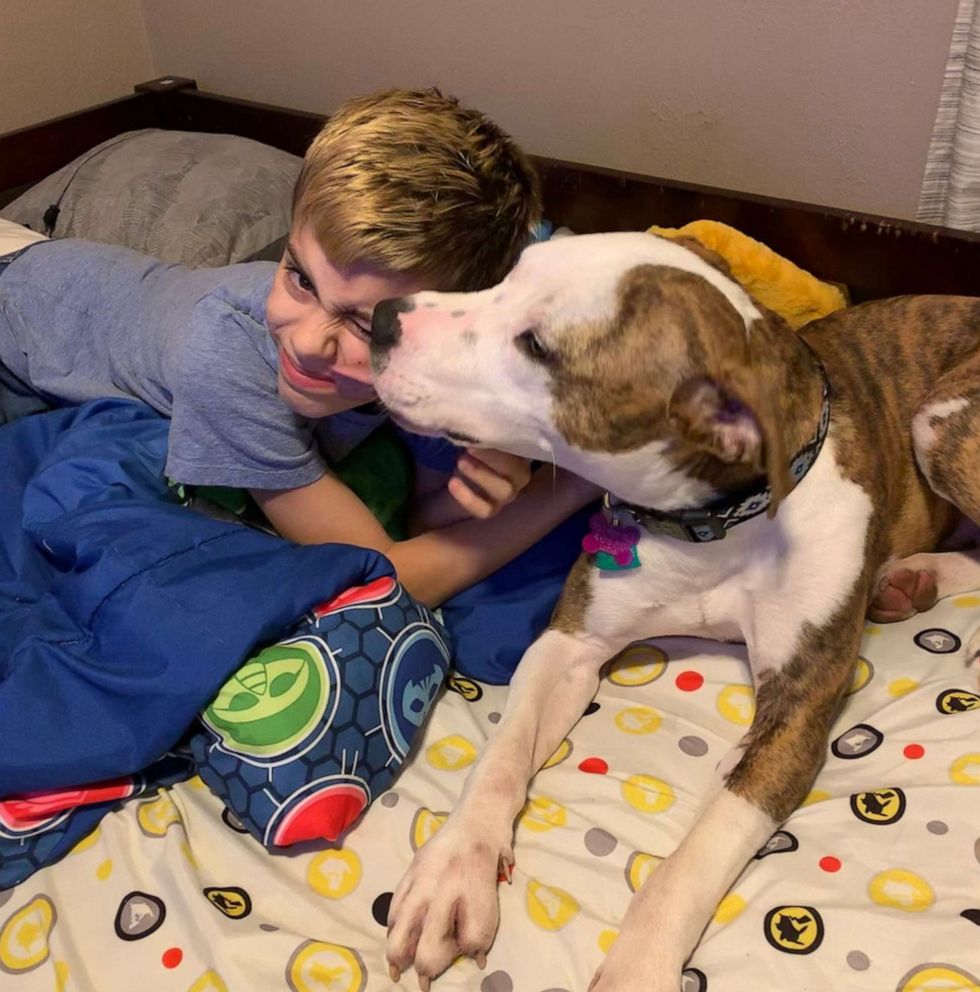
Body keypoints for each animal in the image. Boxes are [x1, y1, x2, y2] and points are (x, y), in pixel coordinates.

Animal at [370, 232, 980, 992]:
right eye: (507, 277)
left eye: (537, 347)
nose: (381, 318)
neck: (718, 523)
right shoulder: (568, 644)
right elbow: (502, 754)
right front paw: (454, 869)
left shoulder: (799, 712)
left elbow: (695, 858)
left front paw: (635, 966)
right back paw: (912, 579)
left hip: (940, 421)